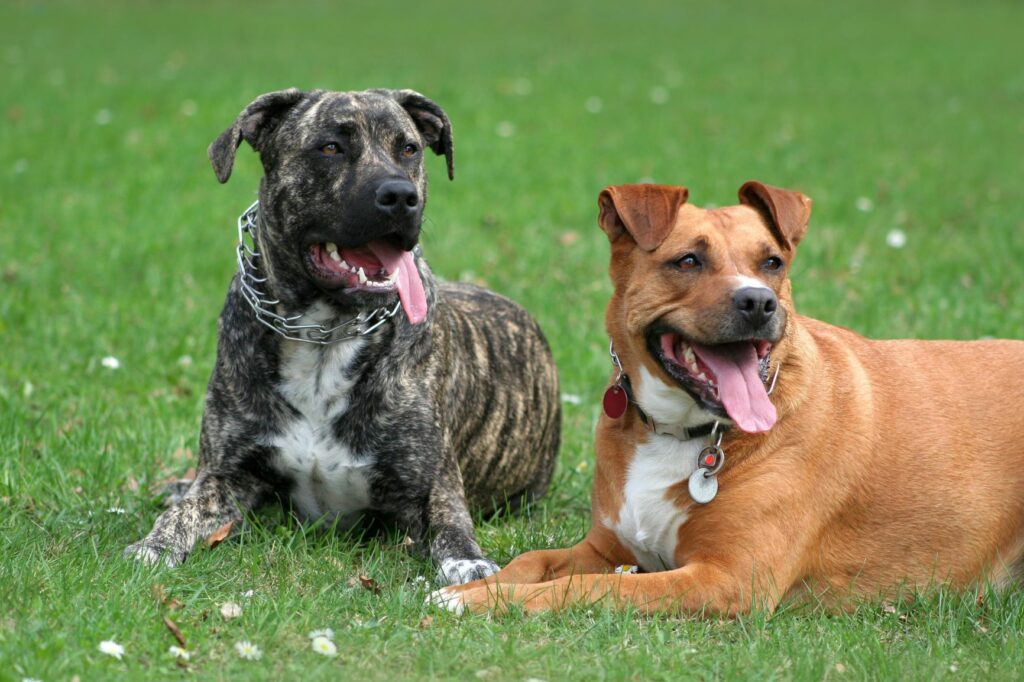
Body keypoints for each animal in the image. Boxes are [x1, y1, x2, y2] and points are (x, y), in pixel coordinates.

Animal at [126, 87, 565, 581]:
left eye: (409, 149)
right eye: (330, 148)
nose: (400, 195)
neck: (325, 334)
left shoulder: (432, 484)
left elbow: (452, 525)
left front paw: (469, 562)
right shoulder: (228, 474)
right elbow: (184, 511)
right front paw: (155, 544)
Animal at [430, 178, 1024, 614]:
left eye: (773, 263)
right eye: (688, 260)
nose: (759, 302)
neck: (681, 431)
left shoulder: (725, 578)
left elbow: (596, 587)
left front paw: (483, 601)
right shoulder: (606, 548)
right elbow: (532, 560)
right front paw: (475, 585)